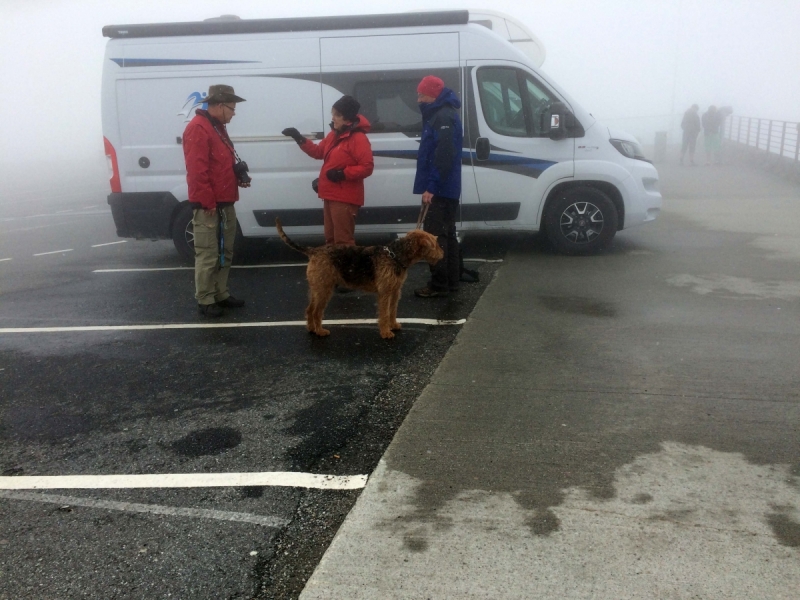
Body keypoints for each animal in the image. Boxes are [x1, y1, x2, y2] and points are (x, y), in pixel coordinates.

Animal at [276, 218, 444, 338]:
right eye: (435, 244)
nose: (442, 254)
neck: (395, 256)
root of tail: (313, 251)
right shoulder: (385, 292)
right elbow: (384, 313)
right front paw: (386, 332)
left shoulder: (395, 291)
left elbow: (392, 310)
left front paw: (394, 325)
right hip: (324, 289)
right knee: (317, 311)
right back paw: (320, 331)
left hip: (317, 288)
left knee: (310, 309)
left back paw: (311, 329)